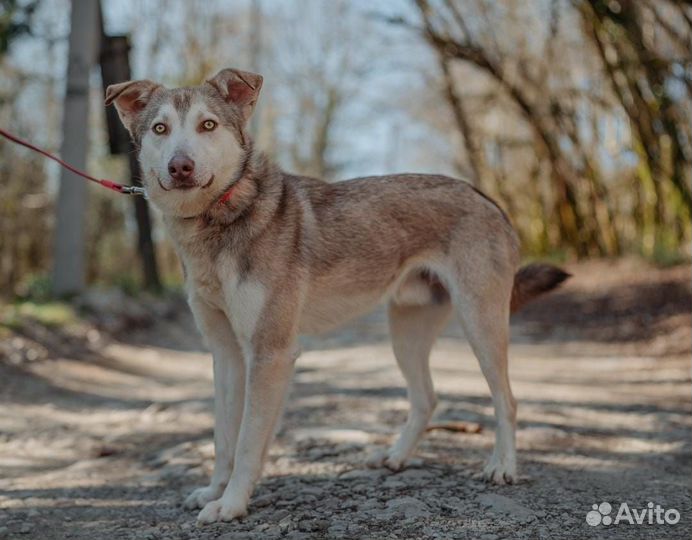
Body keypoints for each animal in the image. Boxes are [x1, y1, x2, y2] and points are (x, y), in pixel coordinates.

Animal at [105, 67, 572, 524]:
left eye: (208, 125)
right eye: (160, 129)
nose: (180, 167)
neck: (219, 220)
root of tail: (486, 197)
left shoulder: (270, 353)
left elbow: (248, 442)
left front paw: (232, 504)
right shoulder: (226, 355)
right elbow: (223, 438)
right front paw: (213, 492)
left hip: (481, 325)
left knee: (507, 400)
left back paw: (502, 467)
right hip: (406, 333)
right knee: (427, 399)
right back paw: (397, 458)